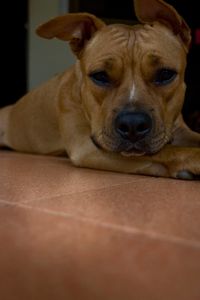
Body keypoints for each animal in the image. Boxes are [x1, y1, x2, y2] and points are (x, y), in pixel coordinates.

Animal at [0, 0, 200, 178]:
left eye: (165, 74)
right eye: (100, 76)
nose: (133, 124)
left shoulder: (181, 131)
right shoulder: (87, 148)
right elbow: (170, 151)